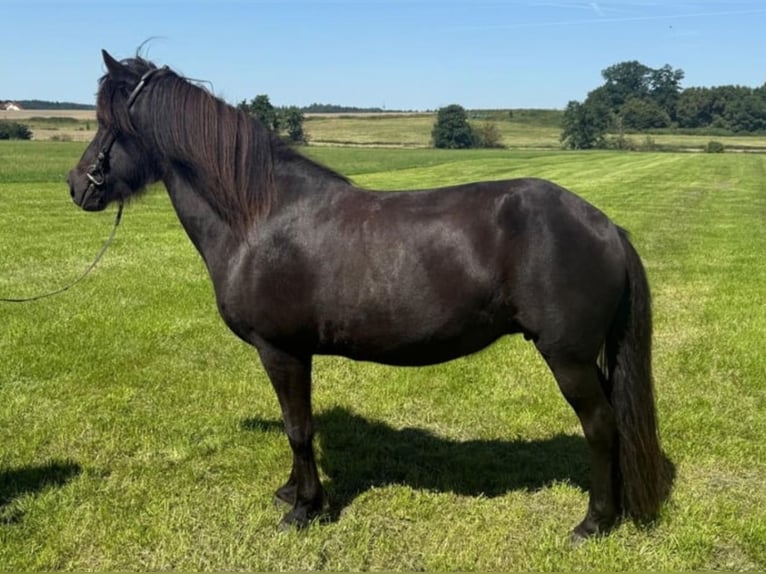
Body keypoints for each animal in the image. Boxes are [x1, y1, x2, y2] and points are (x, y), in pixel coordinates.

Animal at [68, 50, 665, 540]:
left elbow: (298, 428)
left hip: (567, 357)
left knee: (601, 425)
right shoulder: (291, 354)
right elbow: (296, 426)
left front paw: (305, 509)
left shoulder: (281, 350)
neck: (258, 216)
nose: (76, 185)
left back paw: (593, 523)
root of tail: (605, 225)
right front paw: (291, 492)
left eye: (107, 123)